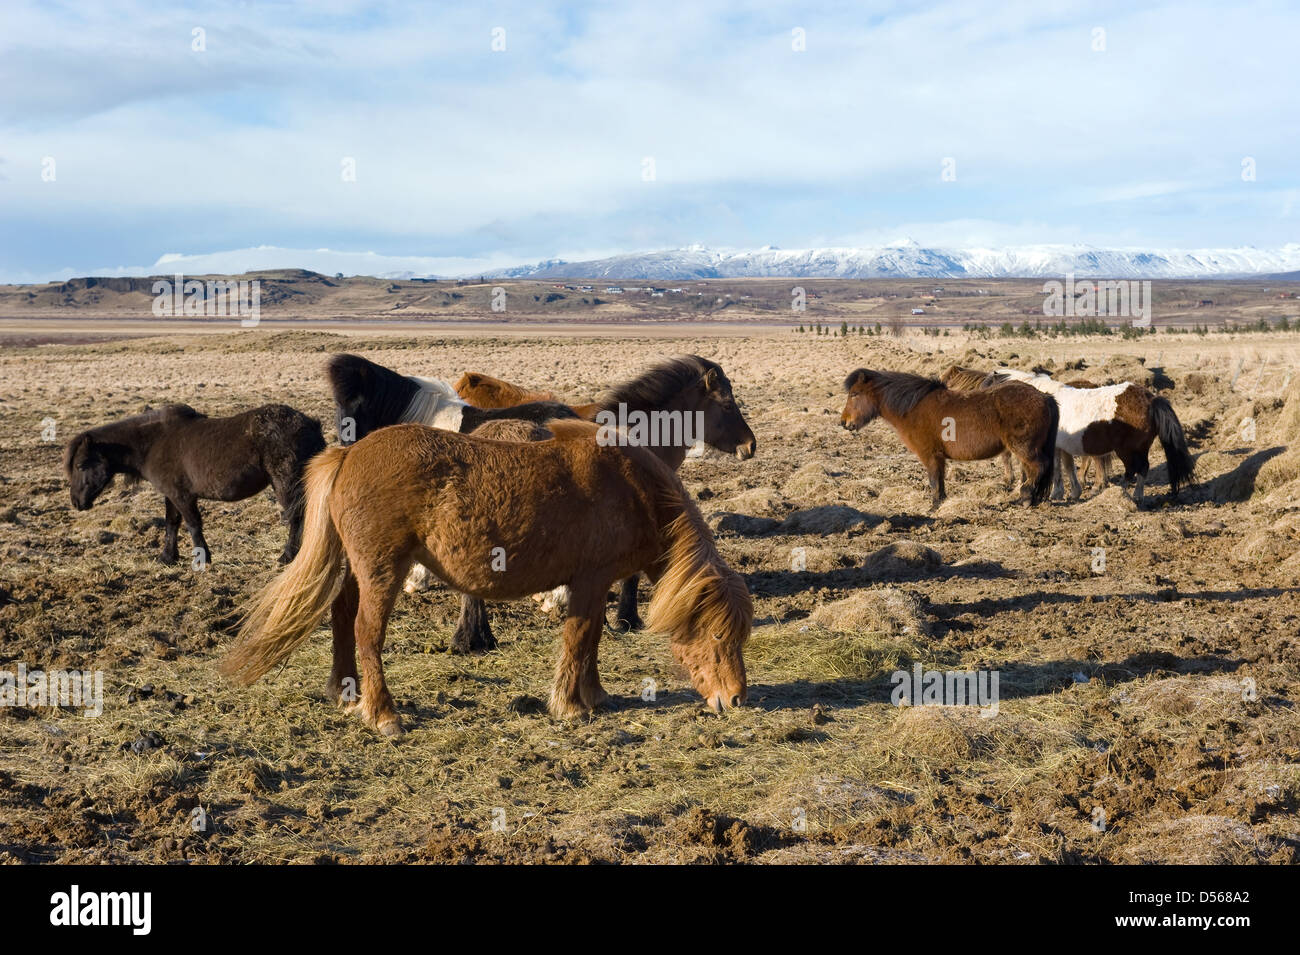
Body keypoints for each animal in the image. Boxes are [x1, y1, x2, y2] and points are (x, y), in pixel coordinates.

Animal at [63, 404, 325, 564]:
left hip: (285, 484)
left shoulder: (183, 496)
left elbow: (192, 525)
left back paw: (287, 556)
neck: (153, 443)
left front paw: (203, 559)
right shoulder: (171, 495)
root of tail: (311, 424)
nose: (76, 502)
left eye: (81, 466)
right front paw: (167, 557)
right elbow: (172, 524)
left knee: (296, 517)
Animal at [219, 419, 752, 737]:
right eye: (717, 636)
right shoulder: (589, 581)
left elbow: (592, 642)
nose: (735, 698)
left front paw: (594, 695)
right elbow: (580, 639)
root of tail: (349, 454)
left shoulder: (595, 586)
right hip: (383, 572)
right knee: (366, 633)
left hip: (358, 570)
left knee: (342, 619)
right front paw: (570, 705)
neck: (629, 484)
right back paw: (384, 715)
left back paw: (348, 694)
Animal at [841, 369, 1058, 509]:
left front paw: (934, 507)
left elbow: (934, 481)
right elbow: (940, 481)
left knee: (1039, 467)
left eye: (855, 394)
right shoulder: (938, 457)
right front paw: (941, 503)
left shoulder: (930, 456)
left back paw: (1026, 497)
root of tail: (1043, 396)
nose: (844, 422)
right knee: (1031, 470)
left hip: (1024, 449)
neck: (914, 408)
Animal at [990, 368, 1194, 503]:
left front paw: (1056, 494)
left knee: (1135, 469)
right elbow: (1068, 468)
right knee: (1142, 469)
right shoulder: (1062, 448)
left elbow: (1057, 469)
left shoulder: (1053, 447)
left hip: (1128, 450)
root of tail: (1150, 398)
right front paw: (1072, 492)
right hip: (1139, 449)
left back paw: (1127, 494)